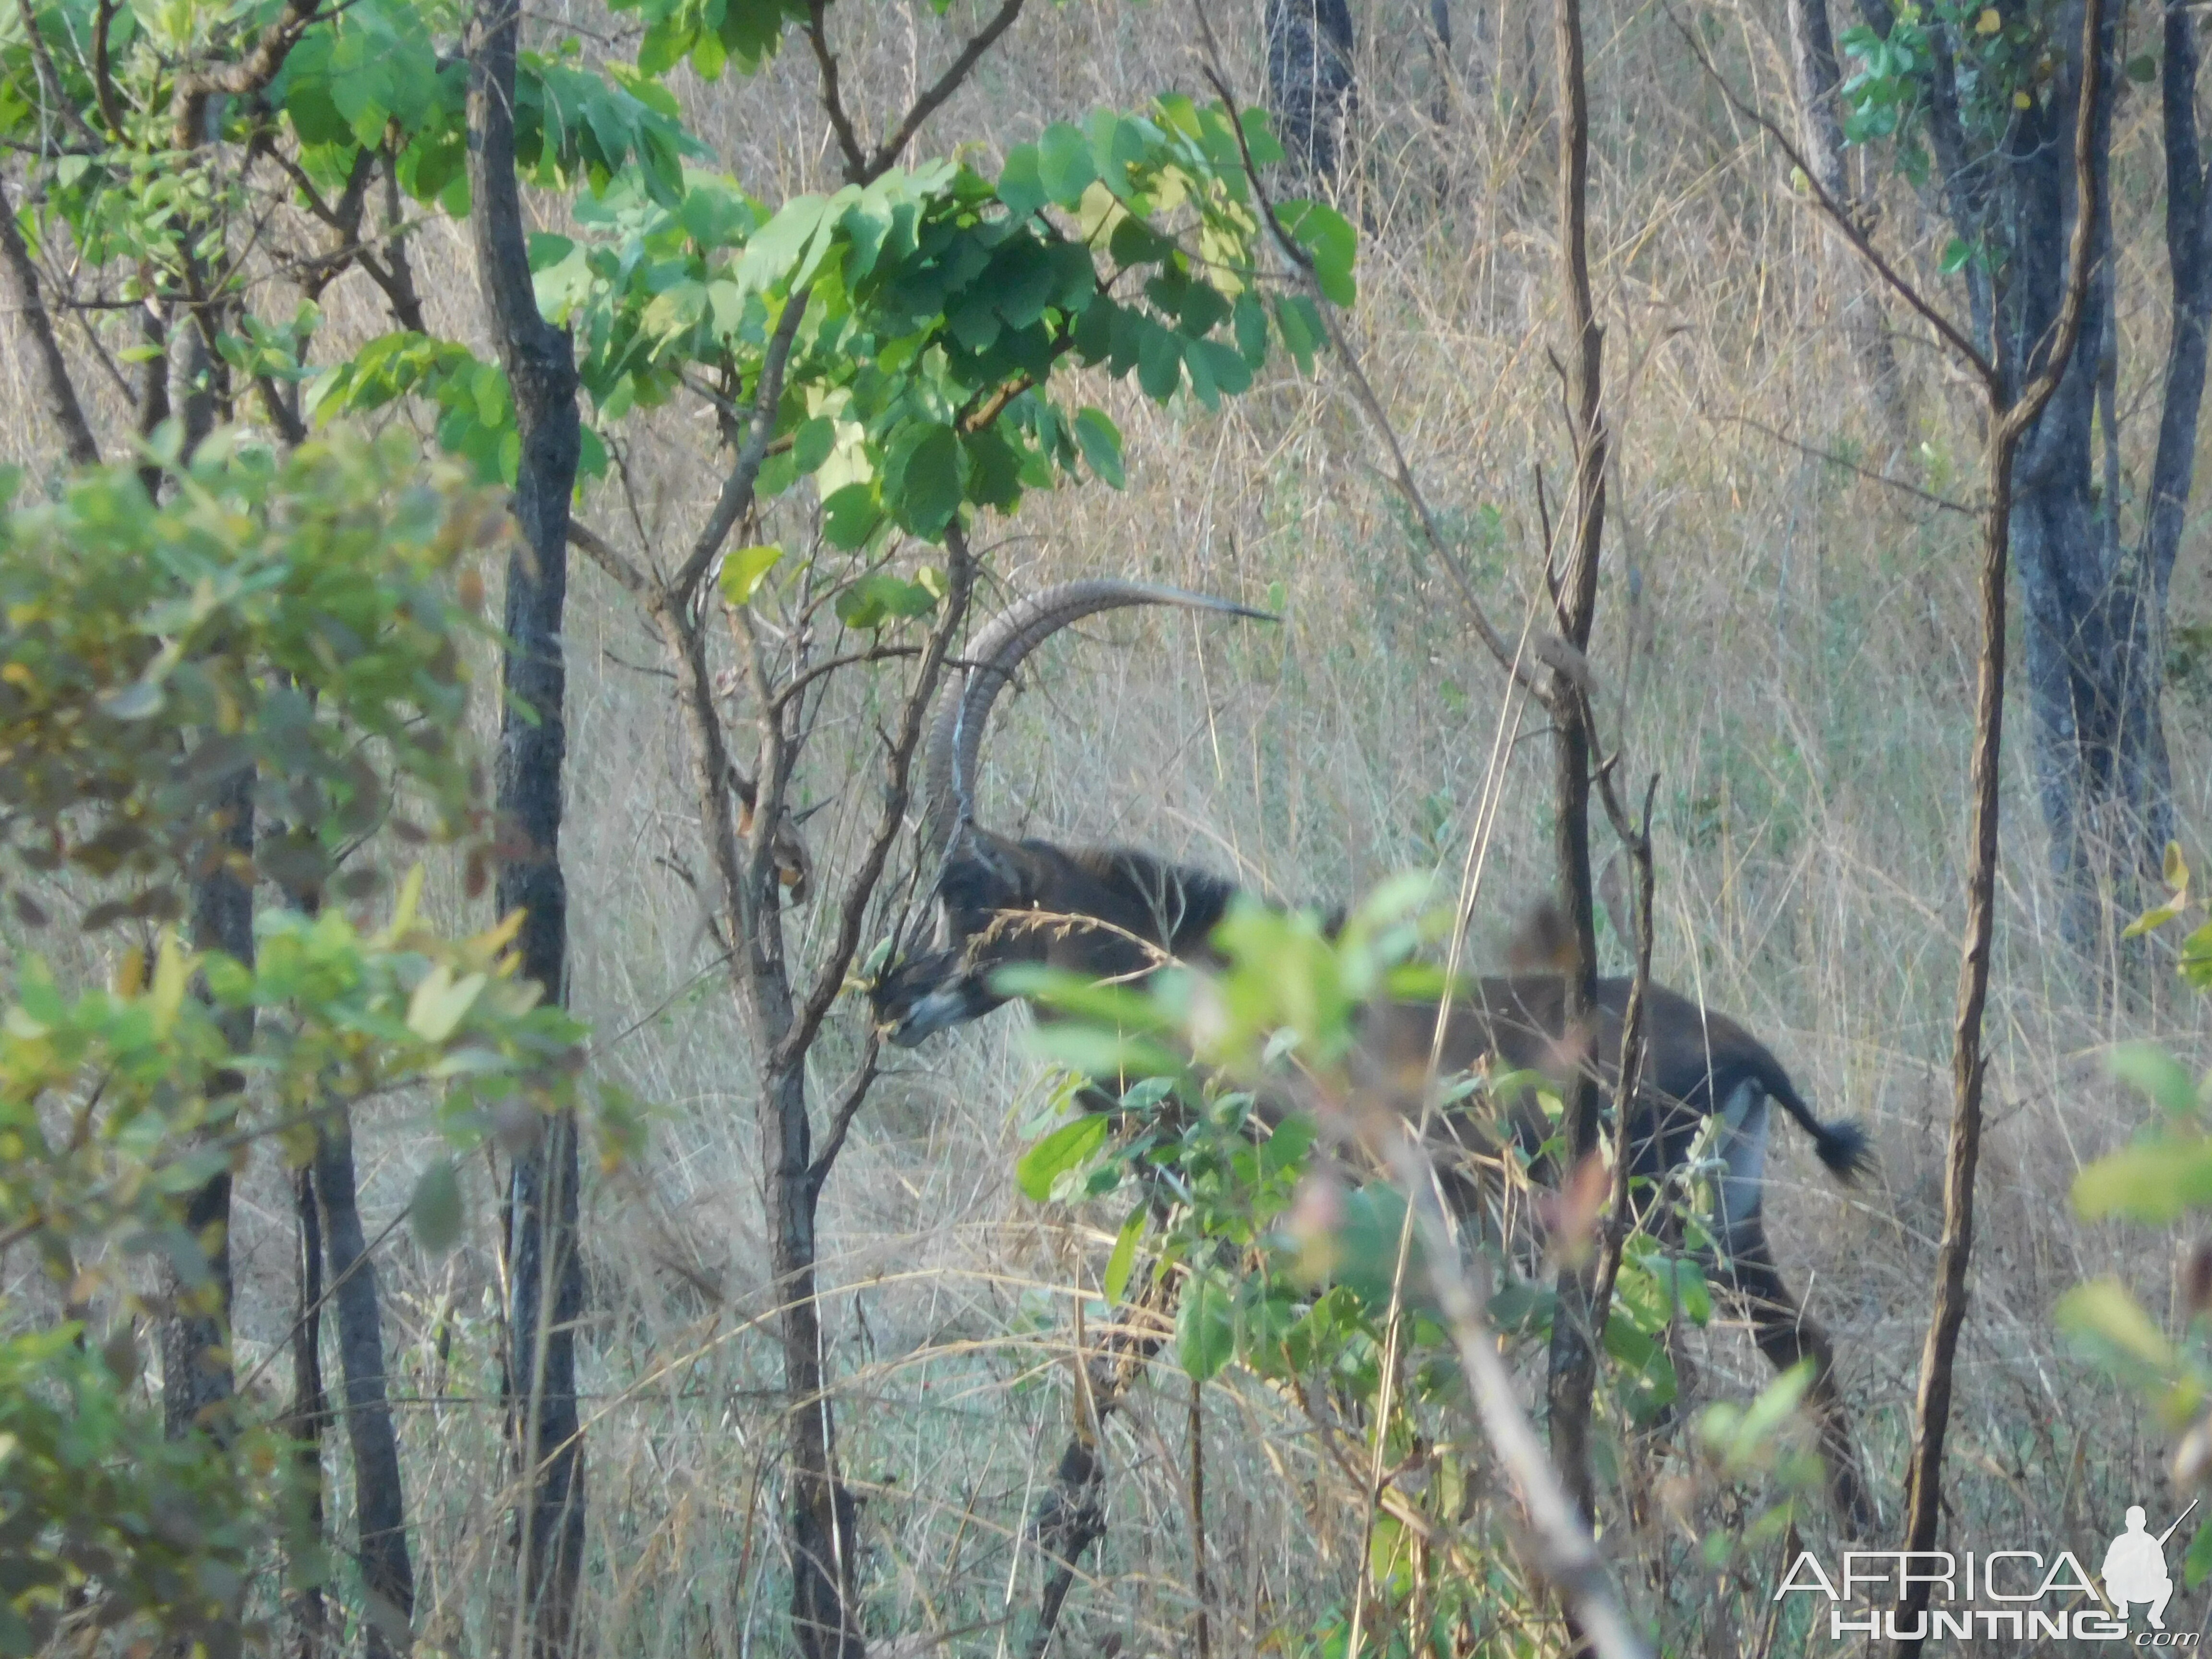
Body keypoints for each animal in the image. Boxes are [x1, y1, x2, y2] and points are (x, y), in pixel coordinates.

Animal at [871, 579, 1875, 1530]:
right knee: (1801, 1351)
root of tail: (1746, 1052)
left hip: (1647, 1231)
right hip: (1726, 1226)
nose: (885, 998)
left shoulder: (1239, 1239)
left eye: (961, 892)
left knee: (1670, 1390)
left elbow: (1113, 1380)